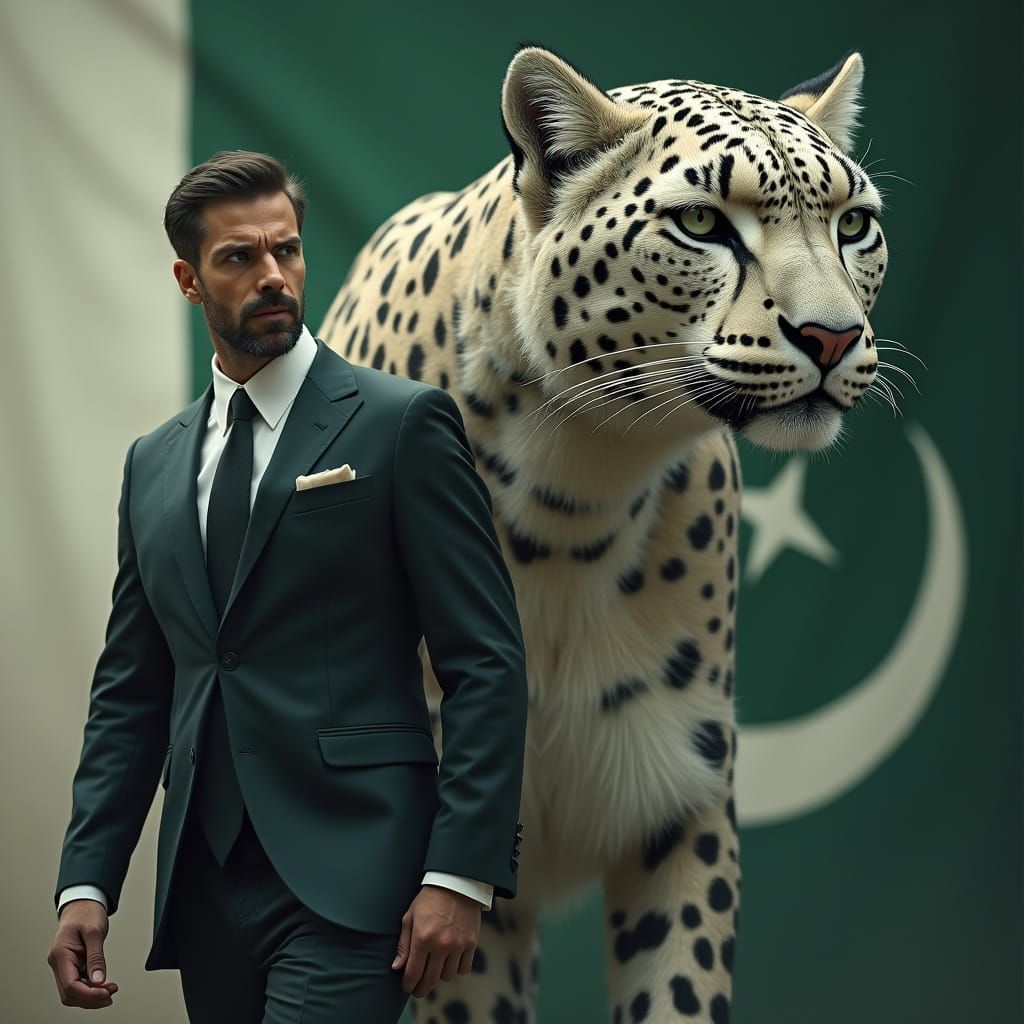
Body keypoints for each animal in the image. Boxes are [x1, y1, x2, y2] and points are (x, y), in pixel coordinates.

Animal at [319, 44, 887, 1023]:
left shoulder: (683, 803)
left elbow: (682, 984)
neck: (574, 489)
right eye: (701, 222)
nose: (833, 336)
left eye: (854, 224)